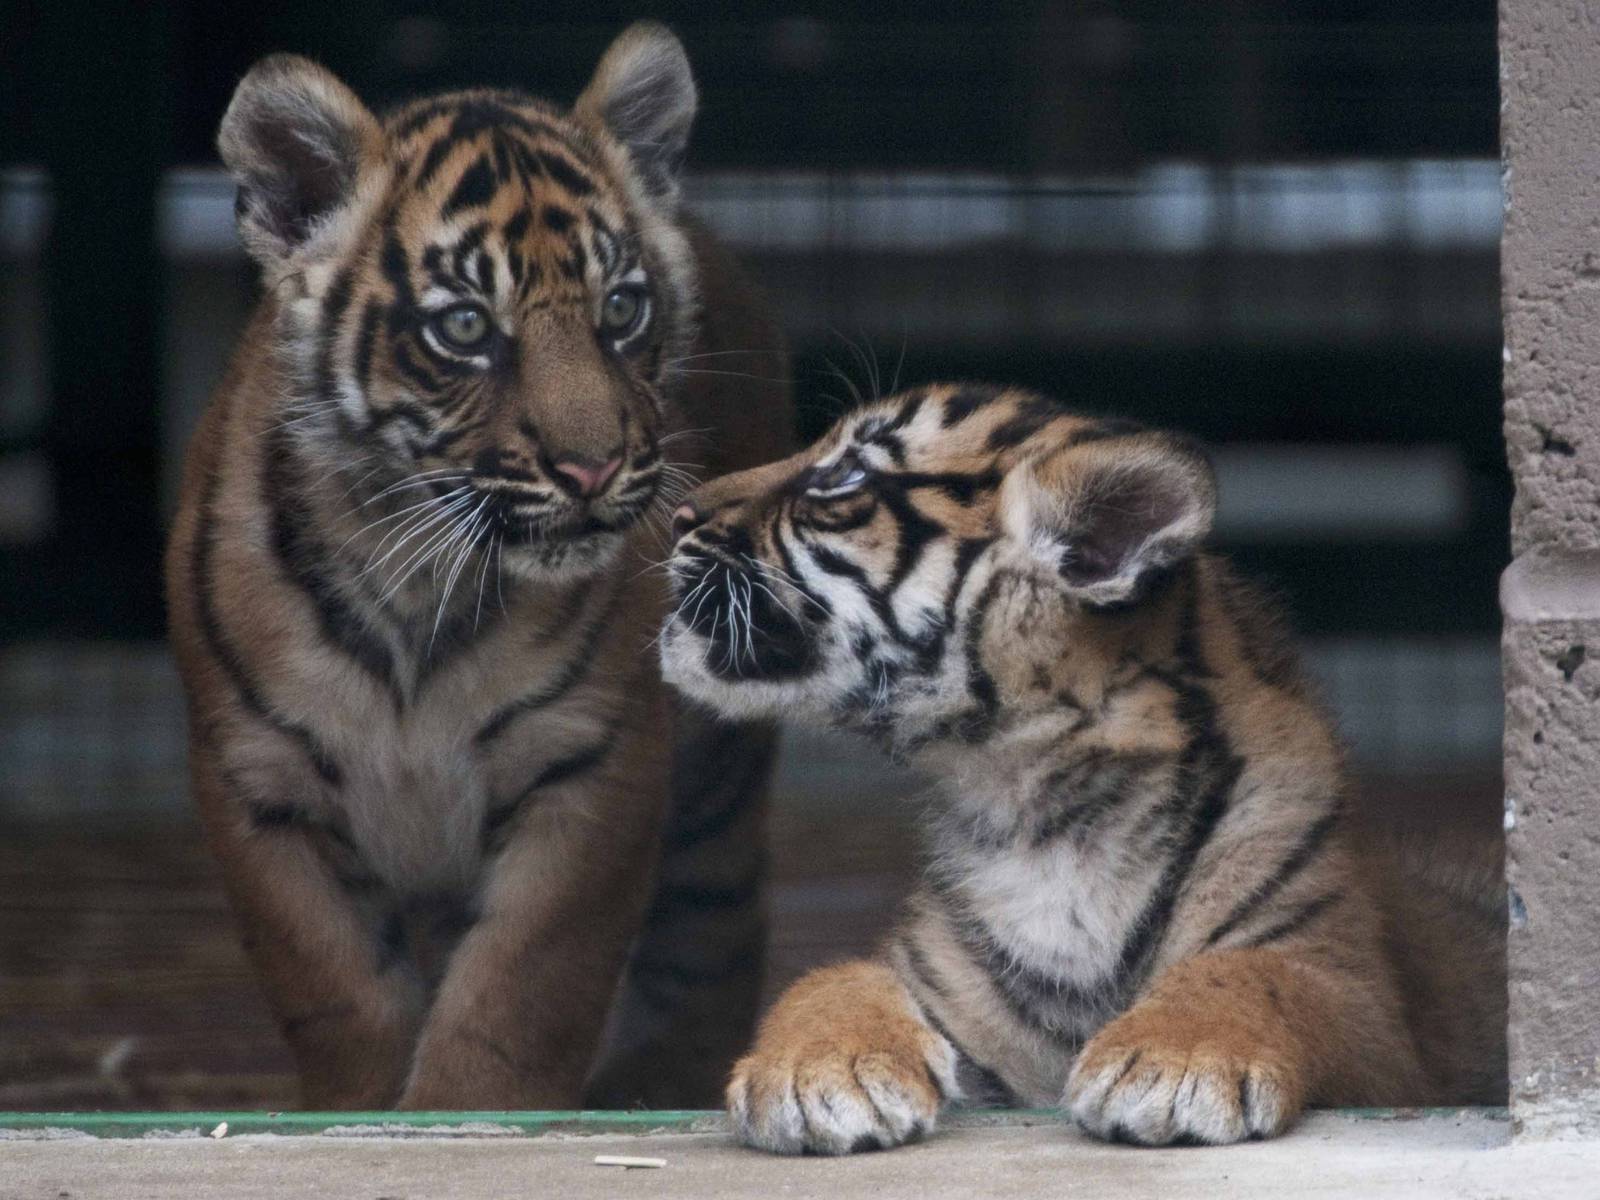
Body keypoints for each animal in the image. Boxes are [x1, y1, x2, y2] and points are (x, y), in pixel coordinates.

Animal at [164, 23, 792, 1110]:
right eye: (463, 328)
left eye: (620, 310)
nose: (593, 468)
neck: (416, 579)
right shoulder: (255, 779)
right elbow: (337, 989)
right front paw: (362, 1115)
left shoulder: (593, 762)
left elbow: (518, 995)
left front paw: (464, 1114)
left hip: (717, 774)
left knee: (717, 925)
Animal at [658, 383, 1506, 1152]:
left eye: (843, 478)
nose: (679, 514)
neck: (1041, 806)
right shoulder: (946, 991)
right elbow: (834, 976)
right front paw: (817, 1074)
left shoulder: (1369, 1014)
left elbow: (1263, 975)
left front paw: (1177, 1064)